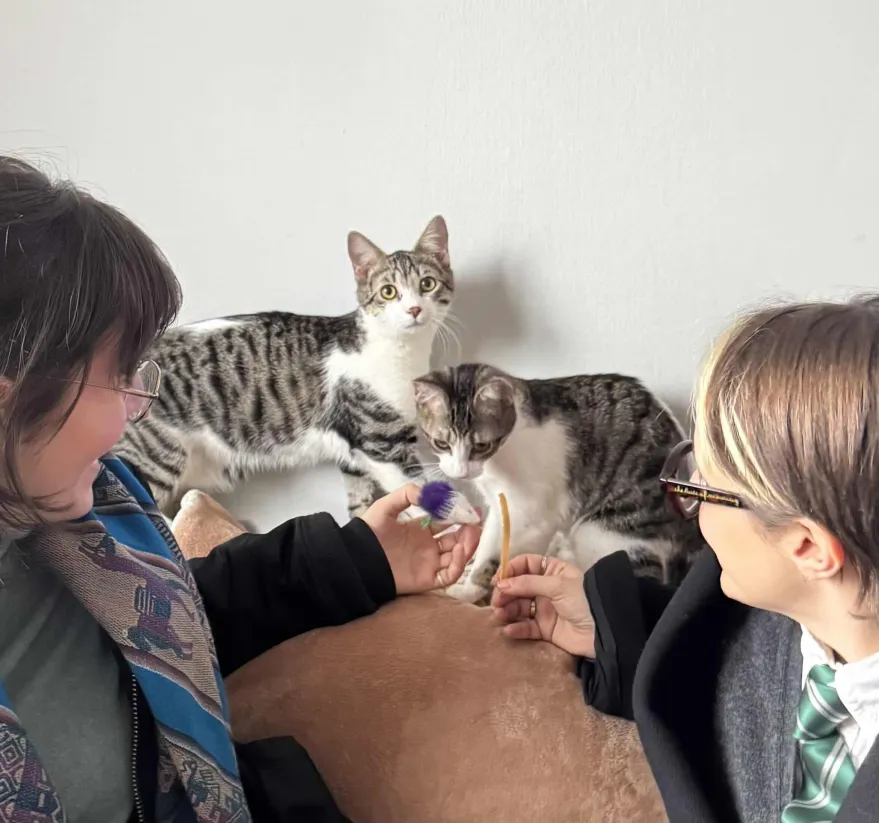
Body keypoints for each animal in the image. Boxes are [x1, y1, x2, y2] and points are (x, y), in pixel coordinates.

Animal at [115, 216, 454, 517]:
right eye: (388, 292)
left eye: (427, 284)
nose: (414, 309)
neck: (404, 351)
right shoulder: (381, 442)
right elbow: (420, 490)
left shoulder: (353, 449)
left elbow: (360, 498)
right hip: (153, 458)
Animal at [413, 363, 703, 603]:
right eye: (441, 443)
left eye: (481, 445)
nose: (461, 472)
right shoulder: (499, 503)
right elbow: (488, 539)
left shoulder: (530, 512)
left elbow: (496, 552)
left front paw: (471, 590)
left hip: (604, 530)